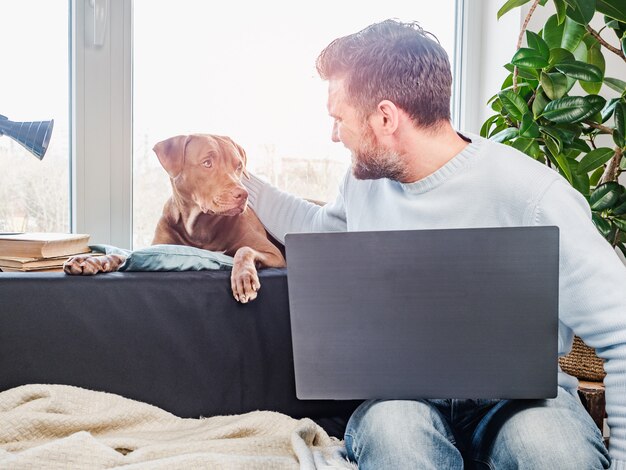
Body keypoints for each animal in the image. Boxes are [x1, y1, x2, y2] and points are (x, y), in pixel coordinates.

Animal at [64, 135, 286, 304]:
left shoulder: (274, 254)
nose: (243, 194)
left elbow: (244, 249)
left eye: (238, 166)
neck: (199, 226)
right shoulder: (159, 245)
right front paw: (92, 260)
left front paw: (244, 277)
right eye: (207, 163)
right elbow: (122, 254)